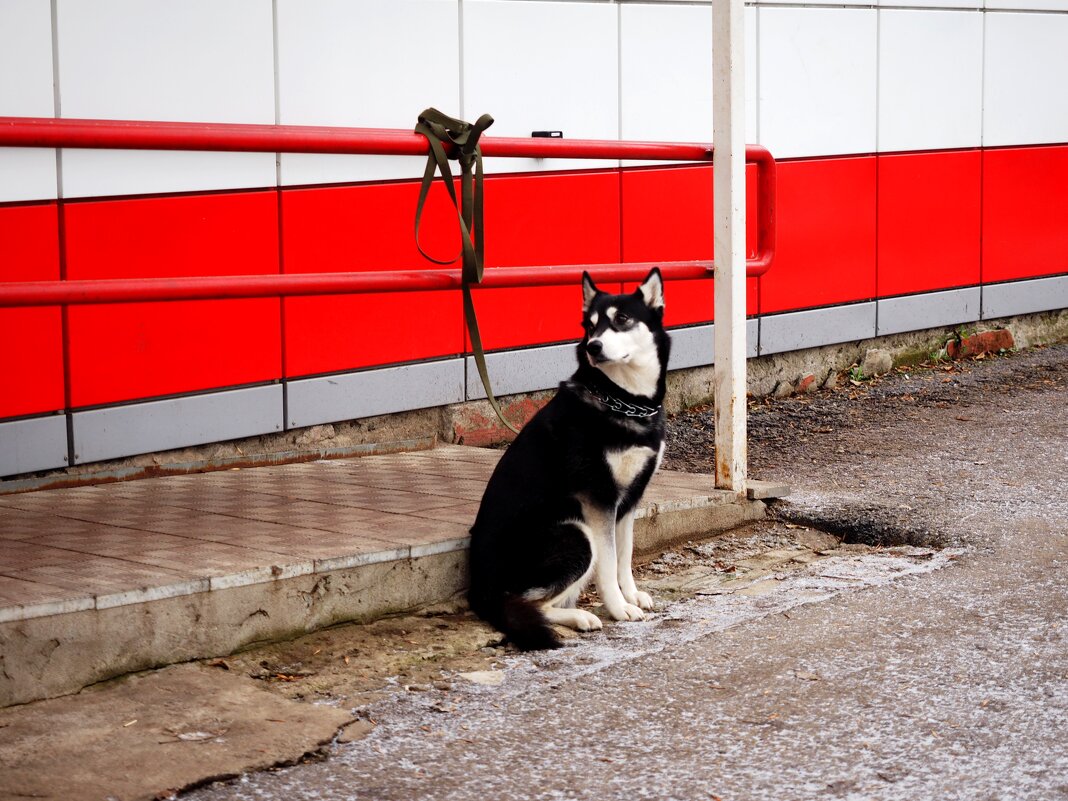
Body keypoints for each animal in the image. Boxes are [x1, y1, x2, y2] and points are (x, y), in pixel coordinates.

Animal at [467, 270, 666, 653]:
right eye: (590, 326)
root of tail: (481, 592)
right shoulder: (599, 500)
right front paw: (619, 607)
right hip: (576, 534)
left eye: (622, 319)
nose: (594, 347)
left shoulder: (630, 499)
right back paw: (579, 617)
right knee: (528, 603)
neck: (624, 401)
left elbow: (625, 555)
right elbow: (608, 564)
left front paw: (632, 595)